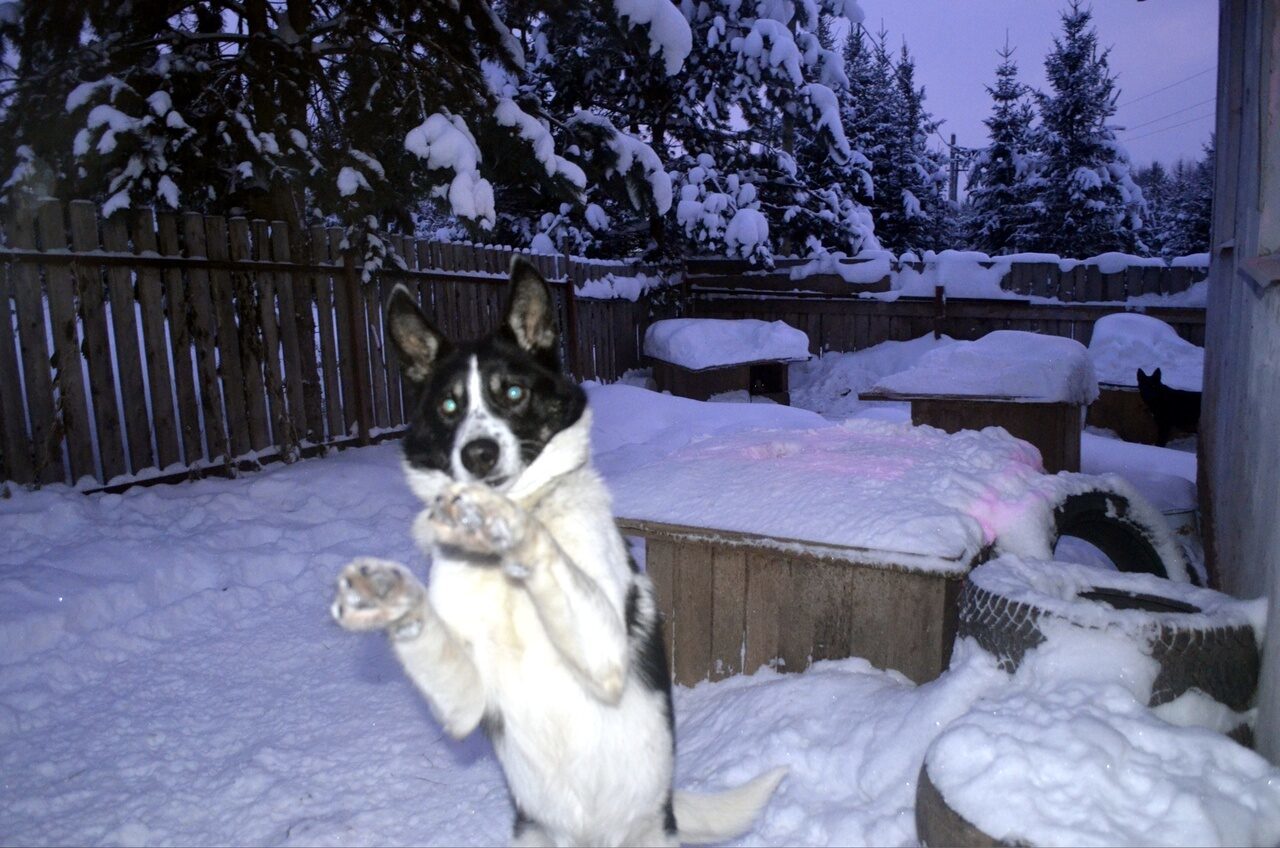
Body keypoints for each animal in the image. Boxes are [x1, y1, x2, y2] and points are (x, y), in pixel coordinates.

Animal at [327, 261, 788, 848]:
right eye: (449, 405)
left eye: (513, 391)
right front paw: (389, 595)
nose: (478, 454)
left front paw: (513, 525)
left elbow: (544, 549)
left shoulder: (605, 650)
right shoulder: (464, 703)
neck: (504, 574)